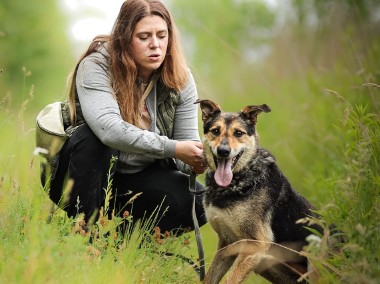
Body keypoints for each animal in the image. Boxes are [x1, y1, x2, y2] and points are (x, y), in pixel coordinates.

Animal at [194, 100, 322, 284]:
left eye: (238, 133)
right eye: (215, 131)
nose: (223, 151)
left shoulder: (256, 245)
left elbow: (230, 280)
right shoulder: (226, 245)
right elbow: (210, 278)